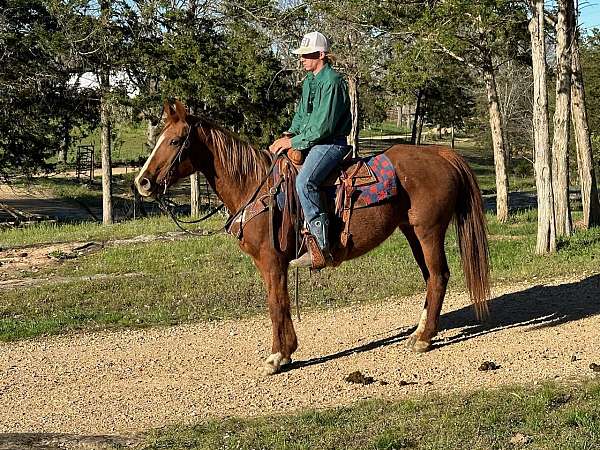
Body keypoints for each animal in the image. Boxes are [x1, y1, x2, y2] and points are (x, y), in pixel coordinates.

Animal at [135, 102, 488, 376]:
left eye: (175, 140)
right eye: (159, 138)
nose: (143, 182)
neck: (256, 187)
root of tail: (443, 154)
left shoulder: (272, 261)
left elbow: (276, 303)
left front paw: (277, 357)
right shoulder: (269, 264)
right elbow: (279, 302)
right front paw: (286, 351)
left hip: (429, 231)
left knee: (439, 276)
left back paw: (424, 339)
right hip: (412, 232)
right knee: (430, 278)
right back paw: (418, 332)